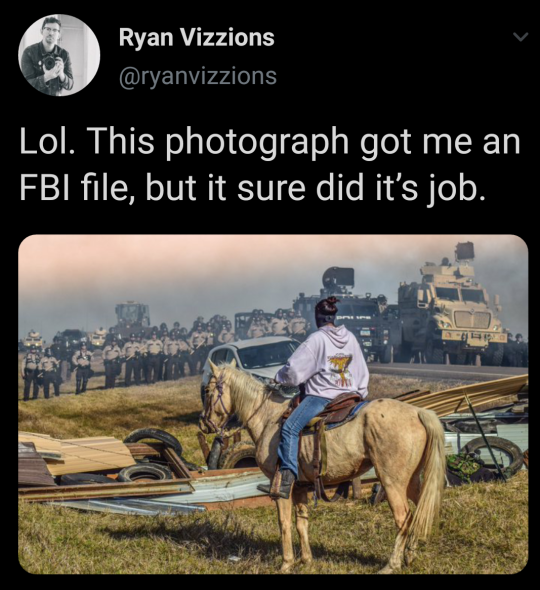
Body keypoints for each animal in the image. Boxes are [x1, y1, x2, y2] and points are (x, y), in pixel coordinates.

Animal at [200, 364, 446, 576]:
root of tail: (418, 412)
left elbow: (284, 523)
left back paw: (392, 564)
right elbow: (302, 522)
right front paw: (306, 560)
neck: (268, 418)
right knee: (421, 511)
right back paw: (410, 556)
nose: (204, 423)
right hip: (411, 481)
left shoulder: (279, 485)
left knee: (404, 518)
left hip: (392, 482)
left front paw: (286, 563)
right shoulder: (299, 486)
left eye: (209, 391)